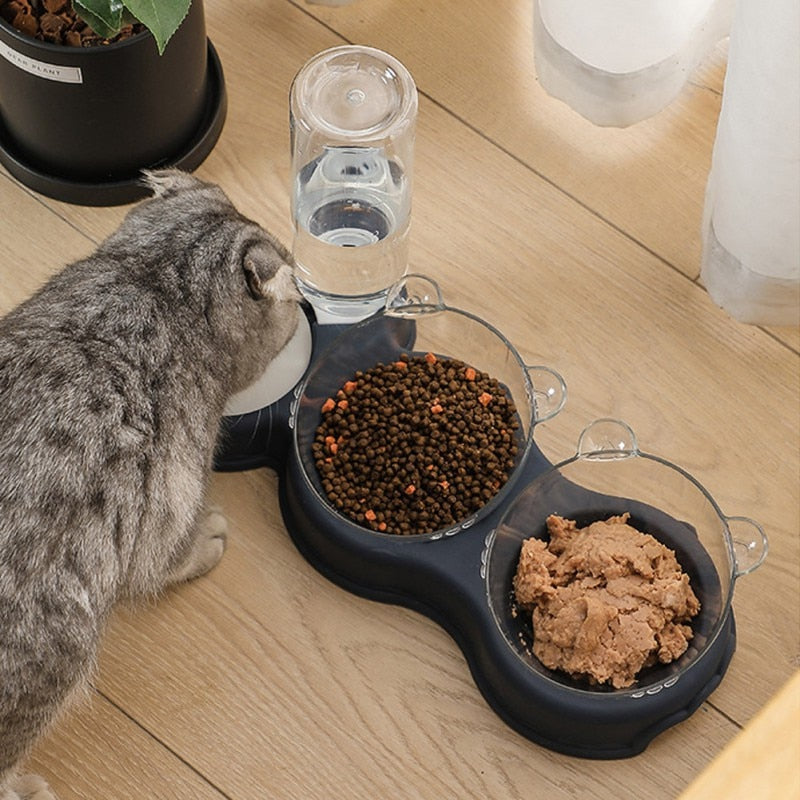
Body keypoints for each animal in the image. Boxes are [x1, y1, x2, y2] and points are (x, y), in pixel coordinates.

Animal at [0, 170, 300, 800]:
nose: (309, 294)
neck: (153, 283)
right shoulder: (171, 495)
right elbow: (171, 555)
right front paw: (205, 542)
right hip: (59, 652)